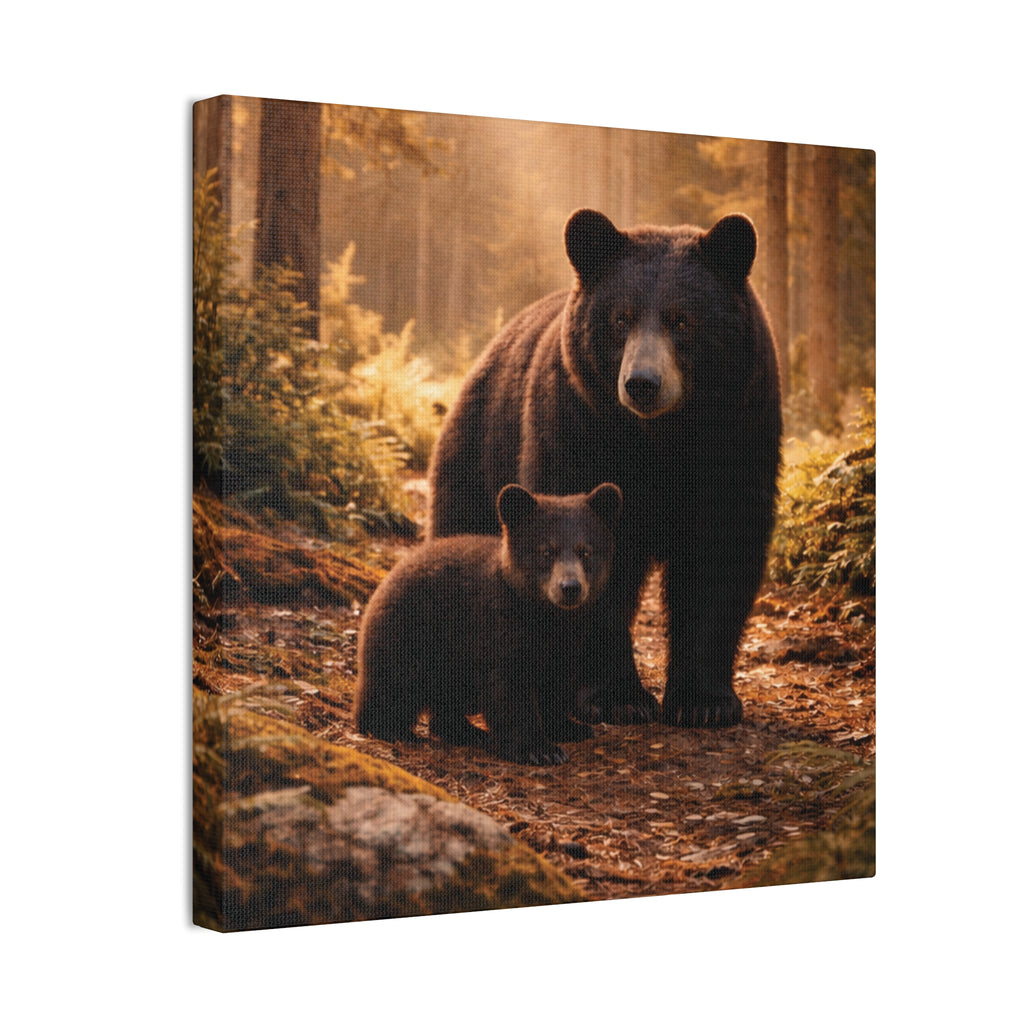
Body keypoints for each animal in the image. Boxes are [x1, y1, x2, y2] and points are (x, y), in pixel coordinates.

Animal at [356, 482, 622, 765]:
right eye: (547, 550)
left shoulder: (568, 638)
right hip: (411, 636)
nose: (570, 587)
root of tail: (387, 578)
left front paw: (569, 727)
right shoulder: (497, 628)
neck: (544, 616)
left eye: (586, 551)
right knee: (393, 686)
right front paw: (540, 749)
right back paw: (391, 728)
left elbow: (555, 681)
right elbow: (509, 688)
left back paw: (467, 731)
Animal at [428, 208, 782, 729]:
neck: (661, 440)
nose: (642, 383)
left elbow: (719, 552)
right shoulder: (580, 428)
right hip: (479, 454)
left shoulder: (737, 436)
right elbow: (585, 547)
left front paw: (704, 701)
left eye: (682, 320)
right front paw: (618, 697)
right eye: (621, 318)